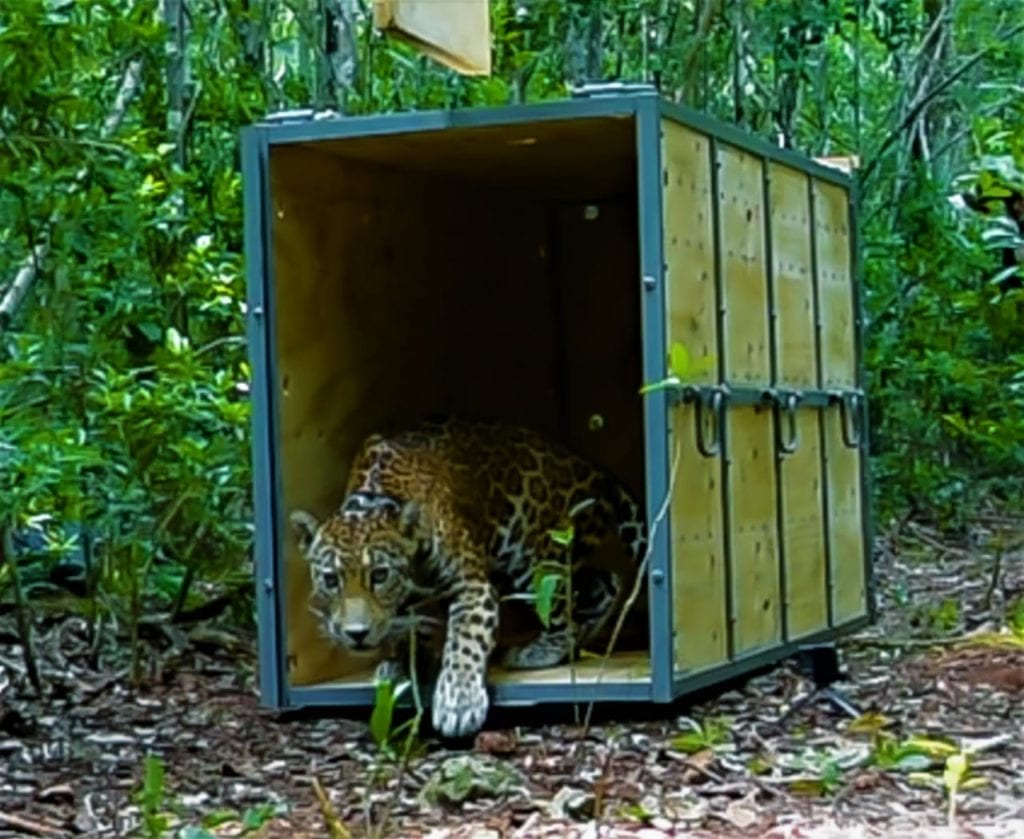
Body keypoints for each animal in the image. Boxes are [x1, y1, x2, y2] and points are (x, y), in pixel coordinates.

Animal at [289, 417, 647, 739]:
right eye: (331, 580)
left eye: (379, 575)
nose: (357, 634)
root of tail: (591, 469)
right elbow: (407, 628)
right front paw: (402, 664)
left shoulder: (472, 587)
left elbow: (464, 642)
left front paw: (458, 703)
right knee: (606, 583)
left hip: (534, 560)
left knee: (563, 606)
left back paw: (539, 652)